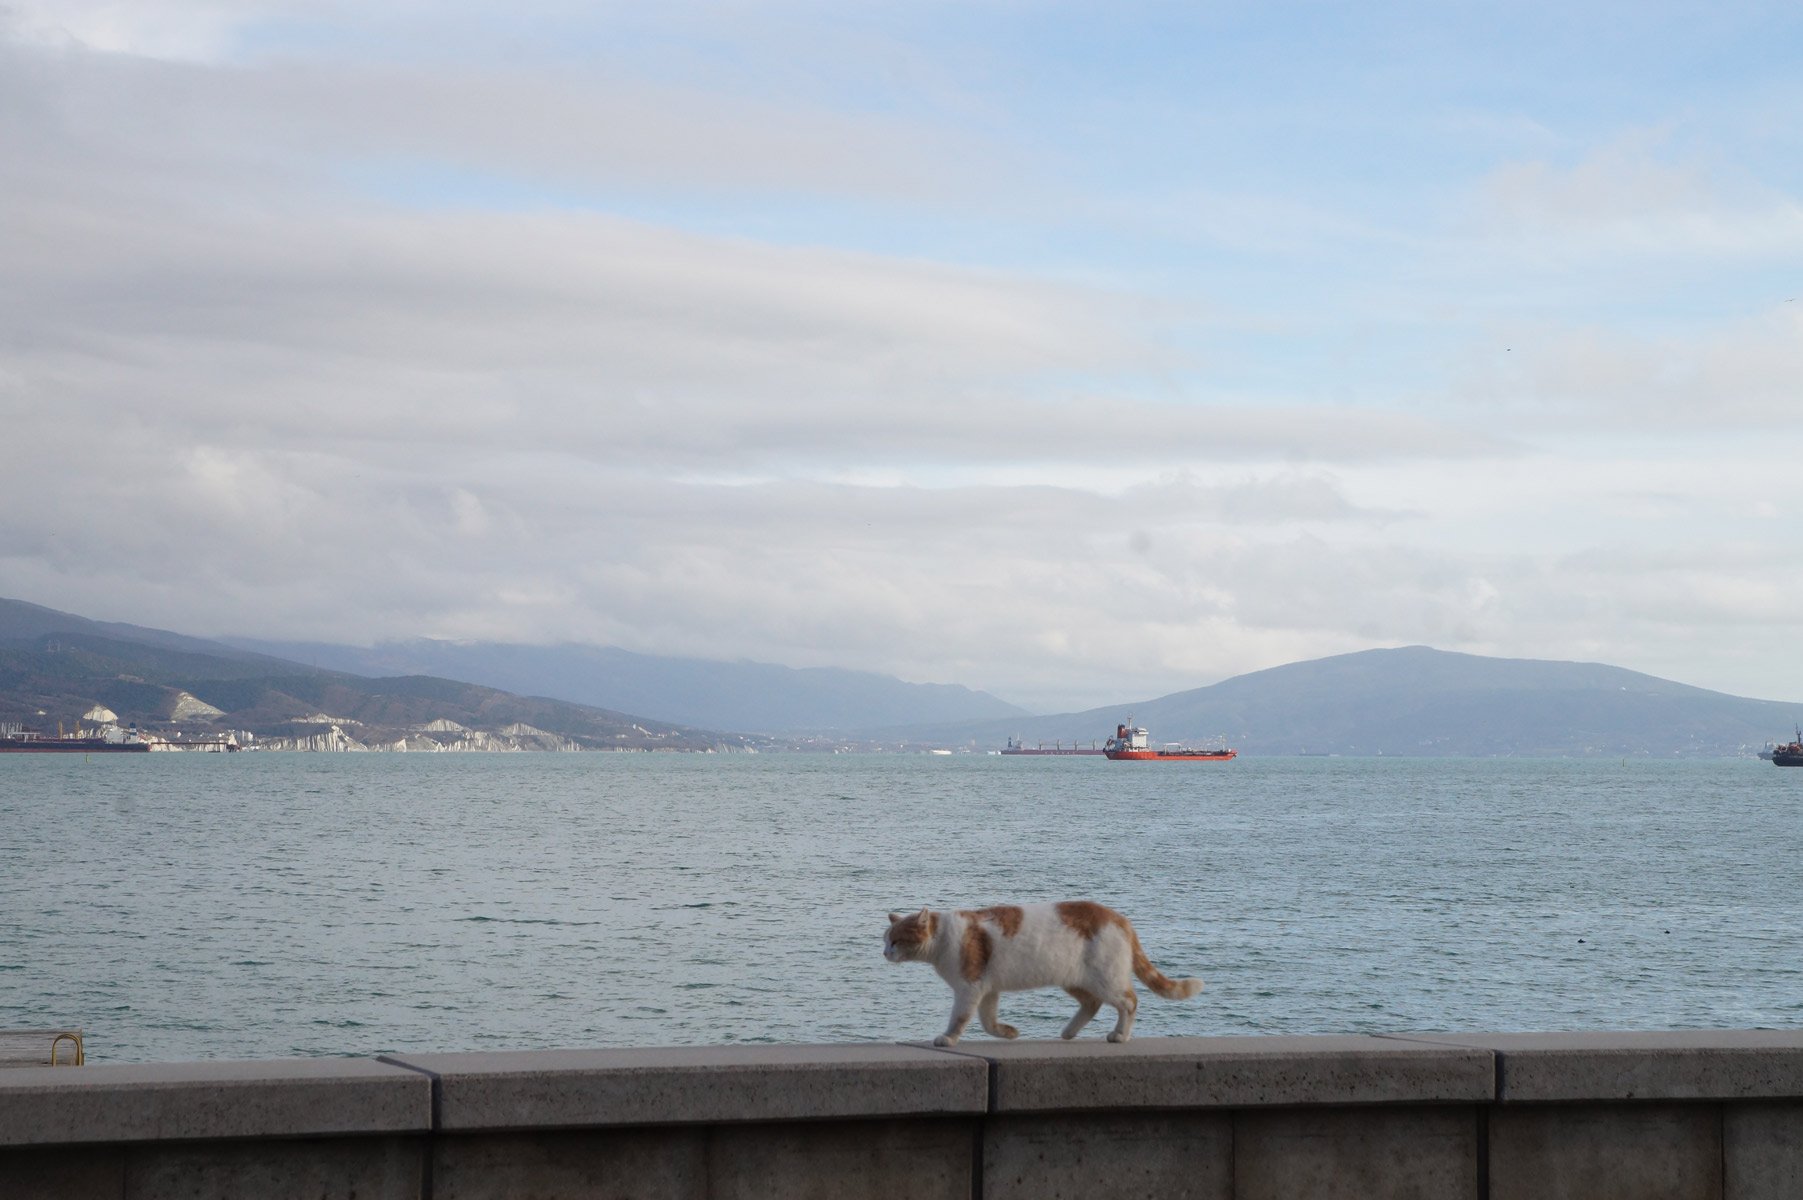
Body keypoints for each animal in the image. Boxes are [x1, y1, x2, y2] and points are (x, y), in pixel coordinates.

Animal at [883, 897, 1204, 1037]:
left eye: (896, 941)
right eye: (886, 940)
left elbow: (960, 1019)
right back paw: (1069, 1032)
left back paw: (1119, 1035)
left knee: (1130, 1002)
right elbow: (988, 1022)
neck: (944, 936)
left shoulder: (969, 987)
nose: (884, 952)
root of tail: (1120, 918)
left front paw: (947, 1039)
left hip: (1106, 979)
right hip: (1075, 979)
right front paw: (1007, 1032)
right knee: (1092, 1004)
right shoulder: (987, 989)